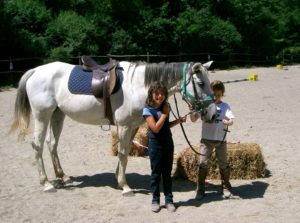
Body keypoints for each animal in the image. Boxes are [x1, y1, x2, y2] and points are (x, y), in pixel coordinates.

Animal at [9, 60, 213, 194]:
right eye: (201, 83)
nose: (211, 113)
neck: (137, 86)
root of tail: (35, 70)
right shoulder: (124, 126)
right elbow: (123, 154)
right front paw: (125, 186)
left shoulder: (132, 126)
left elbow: (126, 152)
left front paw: (118, 178)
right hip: (42, 116)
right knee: (38, 145)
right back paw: (46, 183)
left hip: (57, 115)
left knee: (52, 144)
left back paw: (62, 176)